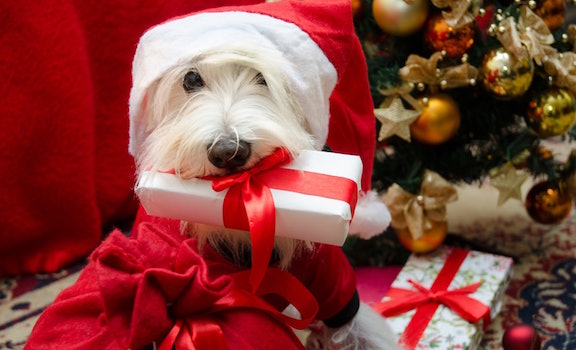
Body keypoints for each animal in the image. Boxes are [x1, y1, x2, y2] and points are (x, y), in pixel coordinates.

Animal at [128, 1, 398, 348]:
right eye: (190, 78)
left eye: (262, 77)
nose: (228, 151)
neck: (246, 235)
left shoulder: (336, 288)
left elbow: (363, 331)